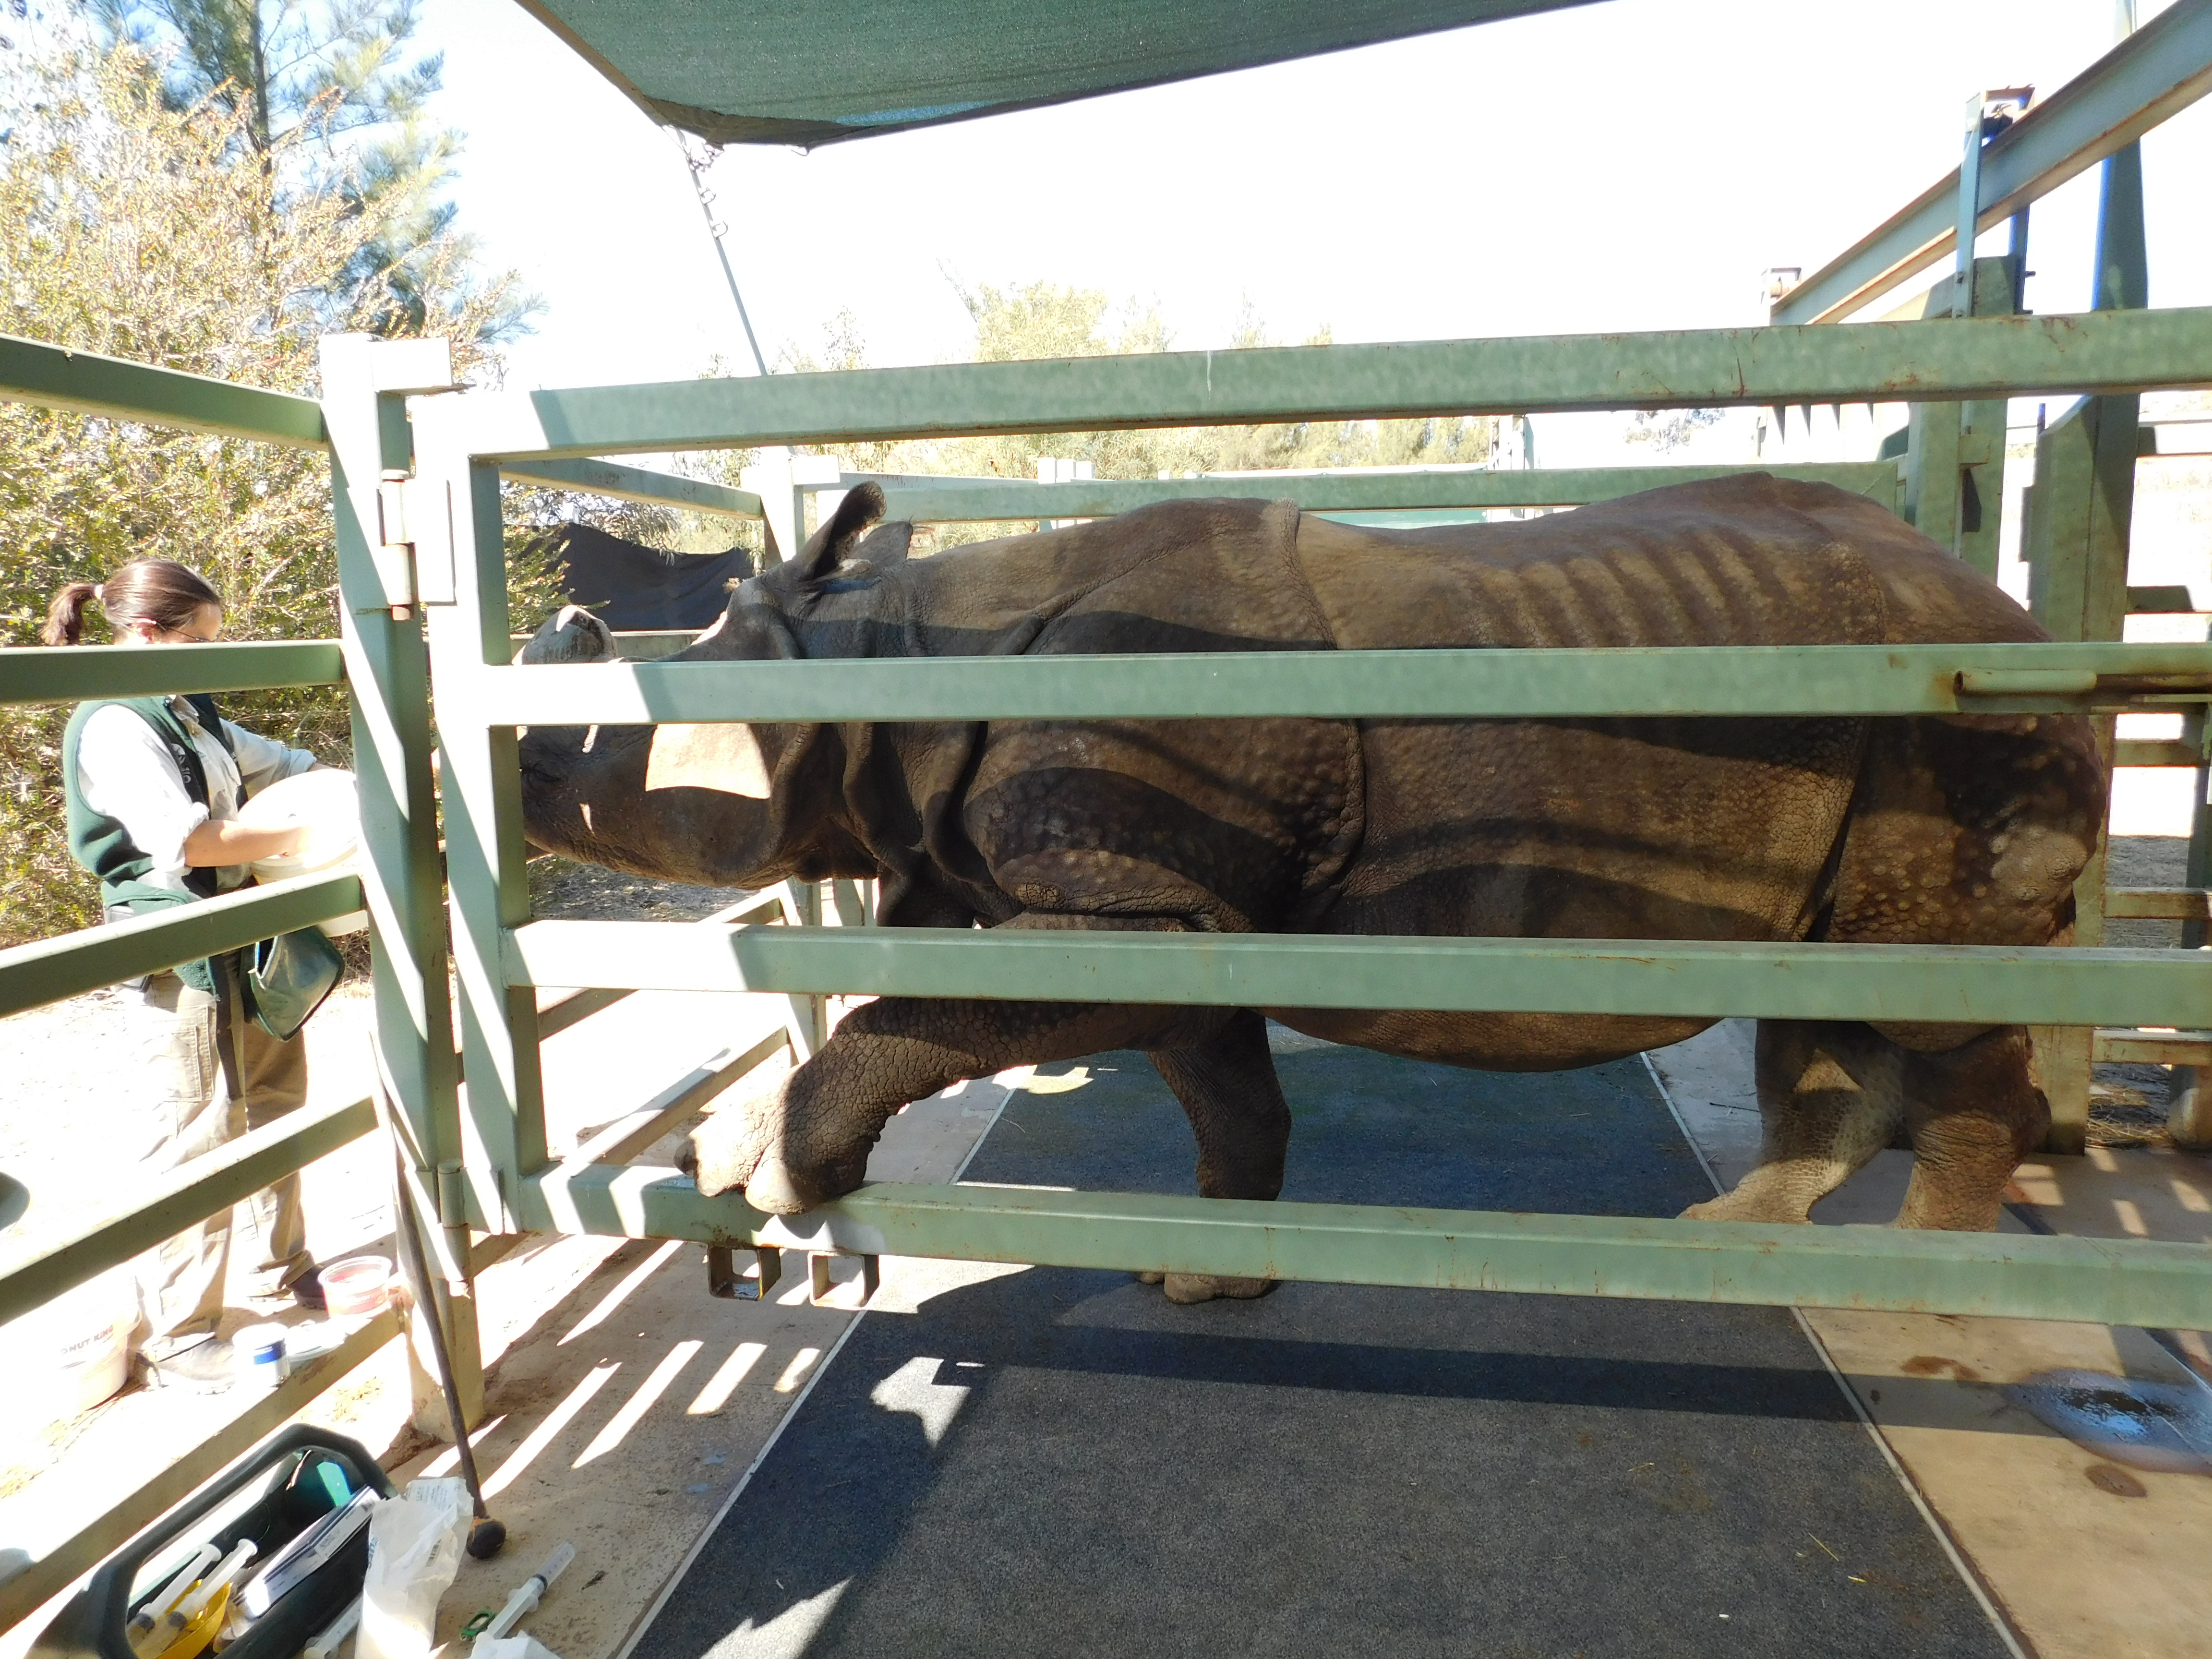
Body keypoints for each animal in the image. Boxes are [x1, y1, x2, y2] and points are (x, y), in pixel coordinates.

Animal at [515, 474, 2102, 1302]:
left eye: (602, 738)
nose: (521, 771)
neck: (885, 661)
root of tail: (2023, 615)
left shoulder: (1135, 908)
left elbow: (908, 1022)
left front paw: (772, 1171)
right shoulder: (1178, 919)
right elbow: (1227, 1097)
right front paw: (1211, 1280)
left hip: (1963, 726)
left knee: (1933, 999)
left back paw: (1934, 1295)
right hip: (1872, 735)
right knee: (1829, 993)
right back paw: (1730, 1255)